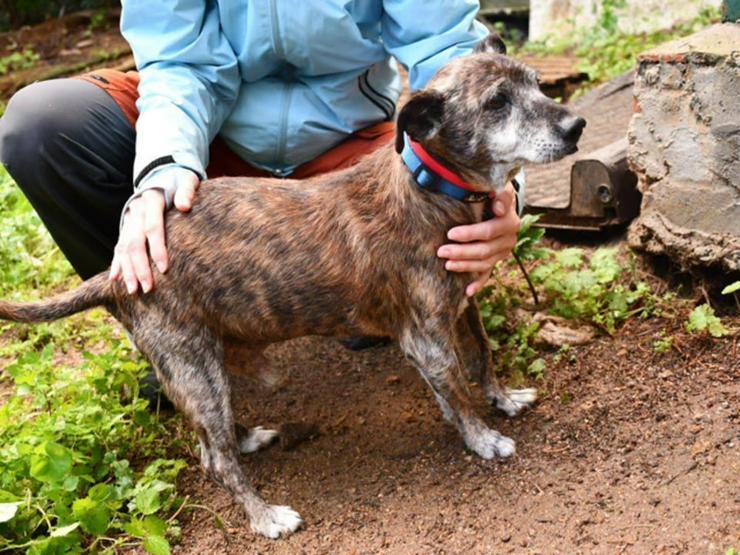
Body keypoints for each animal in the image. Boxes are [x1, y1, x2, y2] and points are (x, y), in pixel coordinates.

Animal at [0, 35, 584, 540]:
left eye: (535, 84)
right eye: (496, 103)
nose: (576, 125)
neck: (432, 189)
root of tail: (117, 271)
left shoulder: (463, 305)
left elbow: (482, 358)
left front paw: (503, 399)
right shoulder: (426, 339)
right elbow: (459, 391)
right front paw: (483, 438)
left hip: (203, 367)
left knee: (211, 444)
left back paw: (245, 437)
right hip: (191, 365)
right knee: (216, 461)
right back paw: (266, 517)